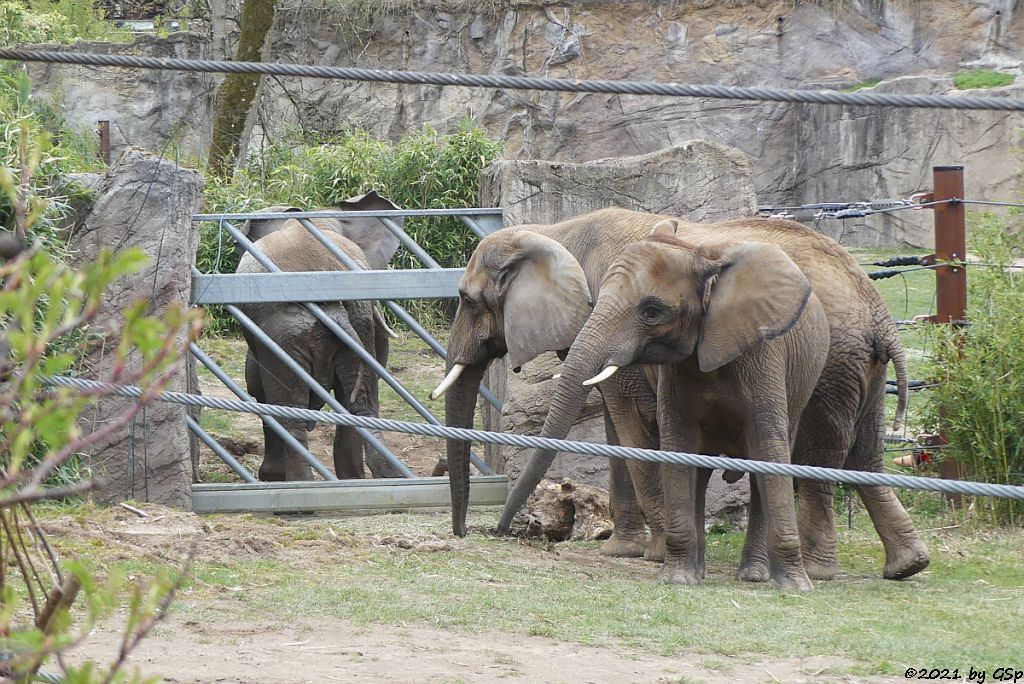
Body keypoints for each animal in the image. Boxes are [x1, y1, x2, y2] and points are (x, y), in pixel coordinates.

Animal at [234, 192, 405, 481]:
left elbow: (256, 382)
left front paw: (269, 475)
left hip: (285, 326)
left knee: (290, 408)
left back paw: (294, 487)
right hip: (356, 317)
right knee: (361, 402)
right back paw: (376, 478)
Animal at [440, 208, 929, 581]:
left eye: (467, 300)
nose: (476, 531)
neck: (557, 229)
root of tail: (877, 309)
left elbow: (631, 427)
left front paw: (653, 555)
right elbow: (616, 432)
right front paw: (624, 550)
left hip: (831, 364)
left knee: (822, 451)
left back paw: (816, 571)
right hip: (861, 368)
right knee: (865, 453)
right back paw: (907, 565)